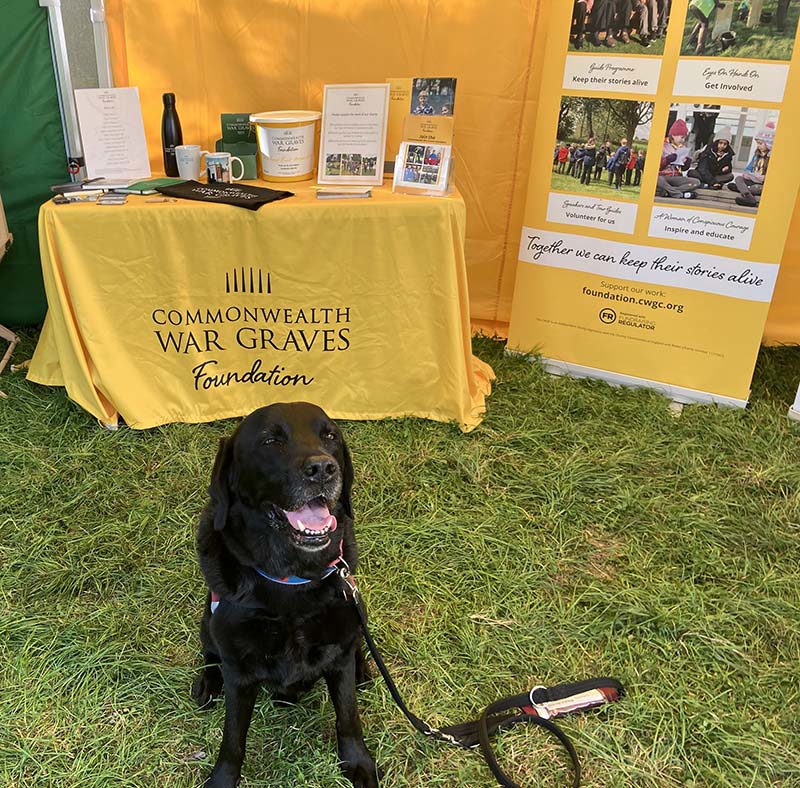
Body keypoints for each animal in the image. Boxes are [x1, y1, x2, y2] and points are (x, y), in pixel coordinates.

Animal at [195, 404, 380, 784]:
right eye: (270, 441)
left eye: (330, 435)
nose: (323, 468)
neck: (293, 580)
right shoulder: (239, 671)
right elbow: (233, 739)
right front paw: (222, 779)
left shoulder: (338, 652)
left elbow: (348, 717)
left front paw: (358, 763)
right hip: (207, 620)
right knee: (209, 651)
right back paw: (207, 682)